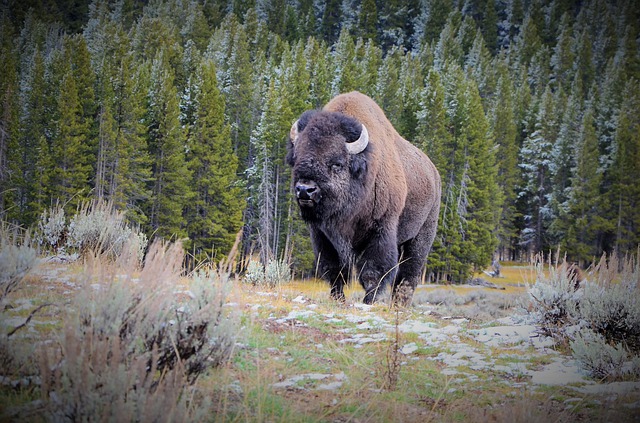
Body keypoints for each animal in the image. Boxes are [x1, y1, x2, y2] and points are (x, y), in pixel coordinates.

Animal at [288, 91, 442, 306]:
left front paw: (369, 301)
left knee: (409, 272)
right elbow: (334, 270)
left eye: (336, 163)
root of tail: (434, 174)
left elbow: (372, 272)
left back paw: (400, 304)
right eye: (296, 159)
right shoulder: (323, 236)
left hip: (422, 235)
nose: (305, 190)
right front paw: (338, 299)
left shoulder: (380, 231)